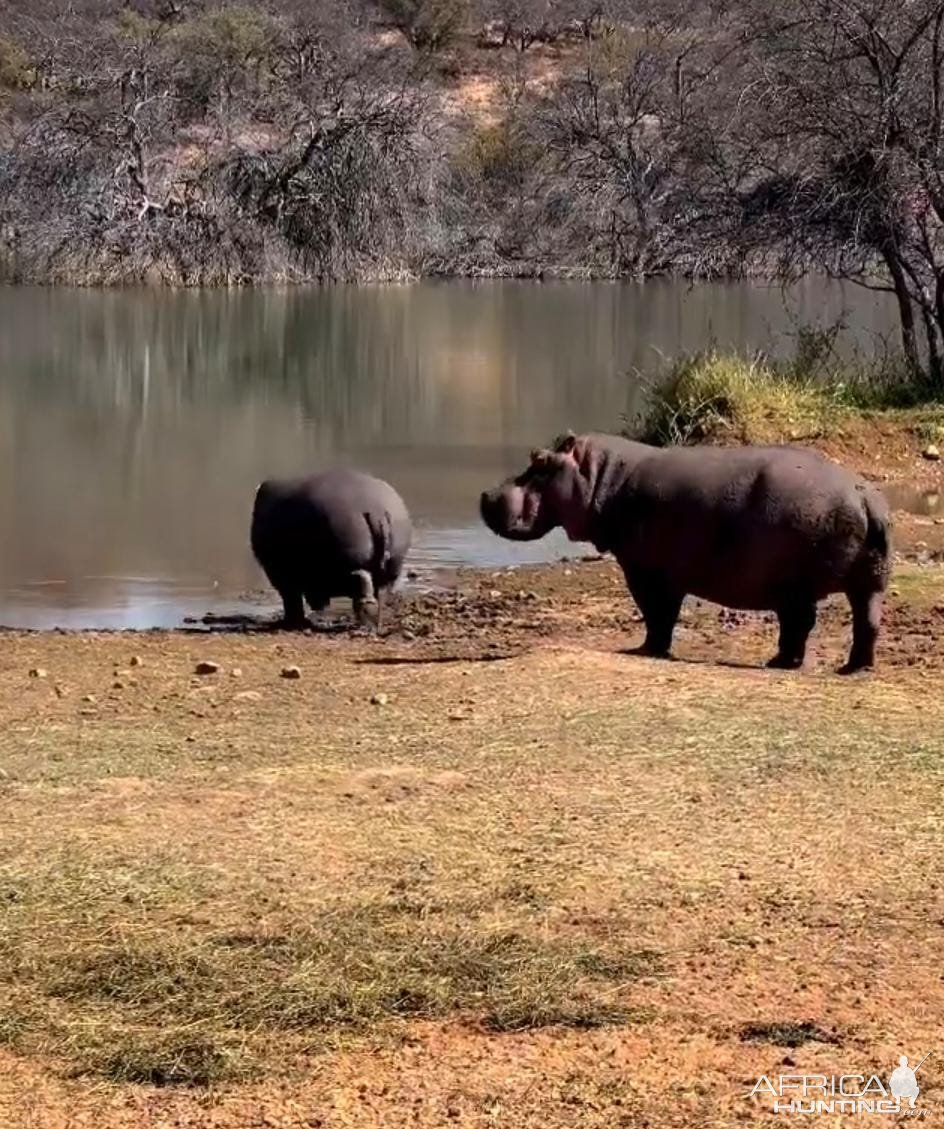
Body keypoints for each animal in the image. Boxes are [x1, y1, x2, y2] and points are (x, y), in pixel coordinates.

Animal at [252, 465, 411, 632]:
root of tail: (376, 511)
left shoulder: (280, 574)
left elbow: (291, 600)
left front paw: (292, 623)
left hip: (351, 557)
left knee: (363, 583)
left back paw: (365, 625)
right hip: (392, 564)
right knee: (380, 592)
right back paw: (375, 624)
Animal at [483, 431, 889, 668]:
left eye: (539, 461)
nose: (486, 494)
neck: (601, 476)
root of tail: (863, 495)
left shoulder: (644, 570)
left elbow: (656, 613)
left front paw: (646, 650)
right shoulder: (668, 574)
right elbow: (666, 612)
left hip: (795, 585)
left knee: (800, 622)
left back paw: (781, 662)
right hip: (868, 582)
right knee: (866, 621)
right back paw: (853, 667)